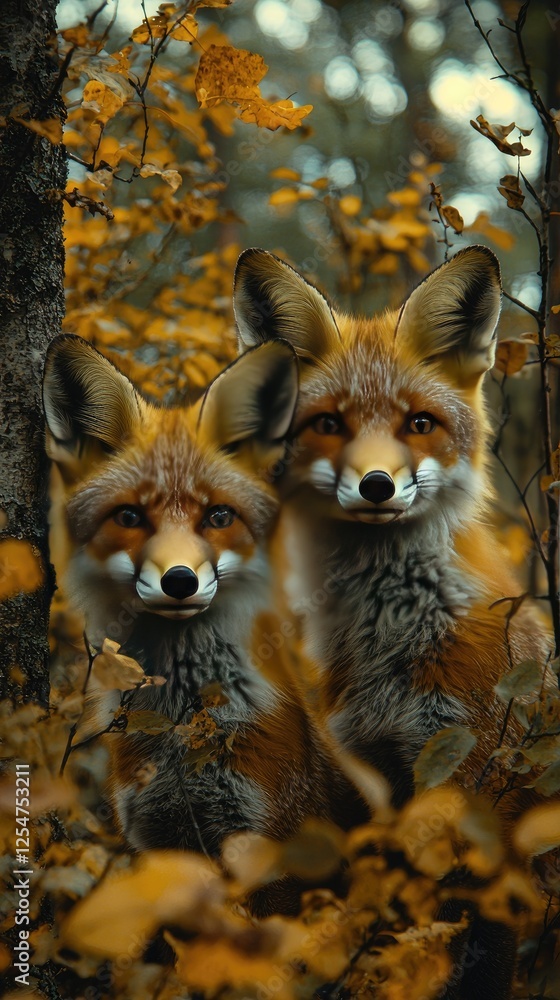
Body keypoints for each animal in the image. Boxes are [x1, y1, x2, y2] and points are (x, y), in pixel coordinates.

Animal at [42, 335, 367, 885]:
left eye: (218, 516)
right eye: (129, 516)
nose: (179, 581)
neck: (178, 732)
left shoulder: (267, 843)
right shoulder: (155, 843)